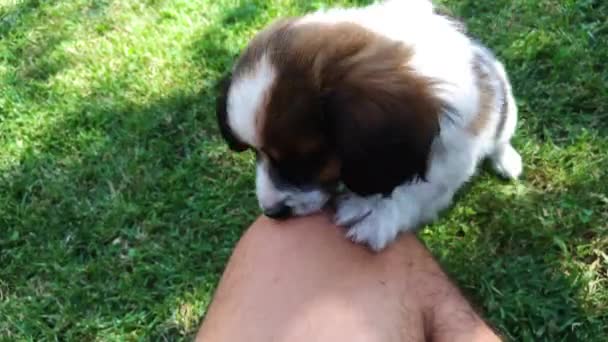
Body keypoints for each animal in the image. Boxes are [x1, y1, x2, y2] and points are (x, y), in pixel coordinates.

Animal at [215, 0, 524, 251]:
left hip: (507, 109)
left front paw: (377, 212)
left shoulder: (456, 152)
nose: (272, 213)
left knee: (500, 139)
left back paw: (506, 160)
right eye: (254, 152)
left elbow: (423, 187)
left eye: (306, 160)